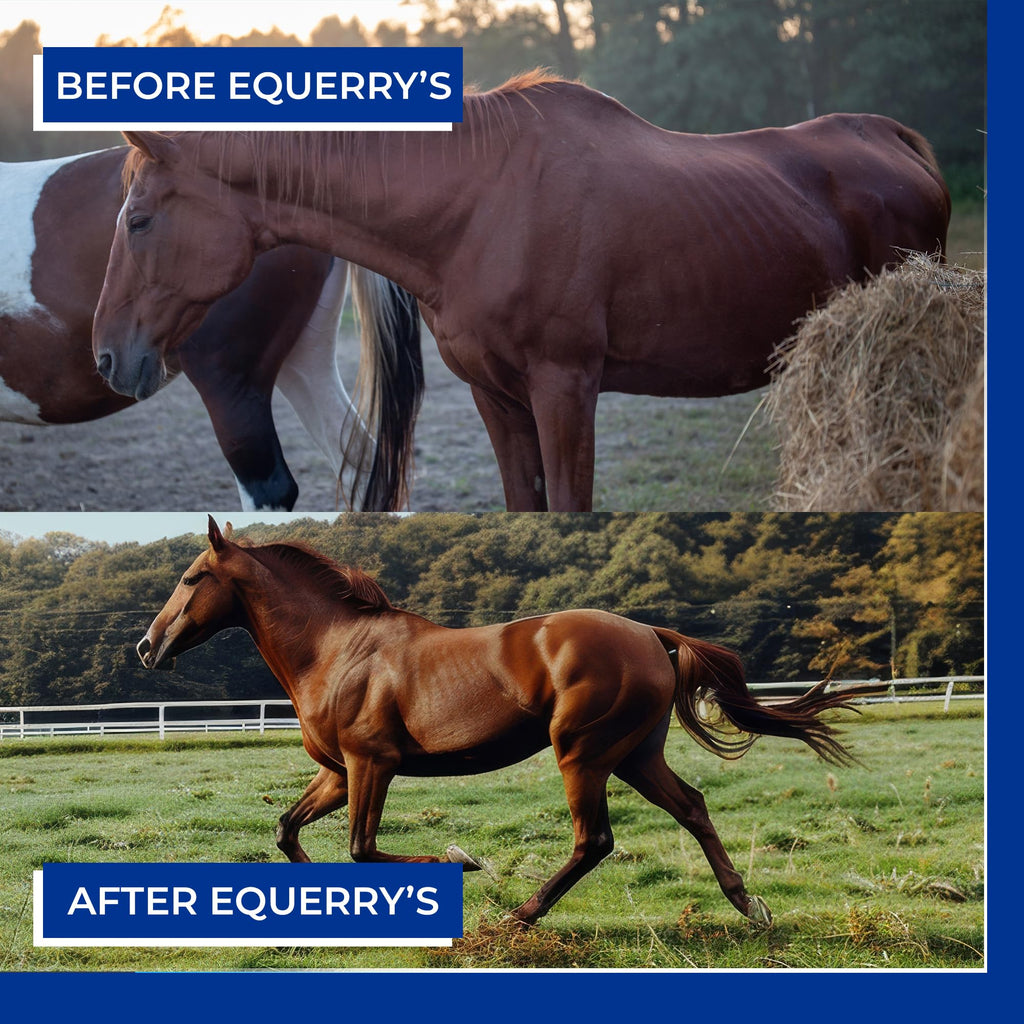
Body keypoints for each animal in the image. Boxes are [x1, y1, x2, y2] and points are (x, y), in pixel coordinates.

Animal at [1, 147, 422, 511]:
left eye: (138, 222)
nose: (105, 357)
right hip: (304, 361)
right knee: (362, 466)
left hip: (230, 386)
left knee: (270, 489)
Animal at [91, 72, 951, 512]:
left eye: (138, 219)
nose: (106, 356)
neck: (481, 202)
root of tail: (894, 140)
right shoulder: (496, 397)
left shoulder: (565, 389)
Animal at [136, 516, 858, 926]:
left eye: (191, 577)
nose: (147, 646)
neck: (337, 649)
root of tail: (652, 634)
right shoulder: (339, 773)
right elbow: (288, 832)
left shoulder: (373, 765)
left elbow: (363, 849)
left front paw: (462, 860)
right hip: (635, 754)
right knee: (693, 807)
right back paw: (747, 904)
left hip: (582, 753)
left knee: (595, 840)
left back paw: (520, 916)